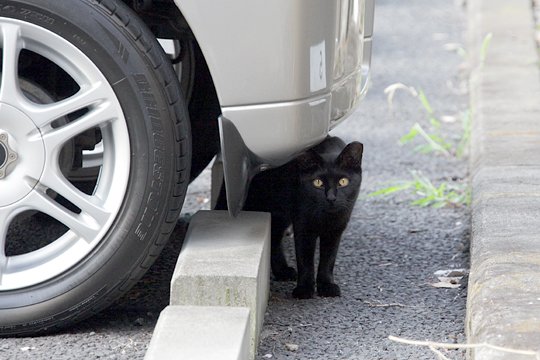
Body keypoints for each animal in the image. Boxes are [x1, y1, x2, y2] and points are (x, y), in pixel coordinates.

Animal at [243, 136, 364, 300]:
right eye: (318, 183)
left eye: (343, 182)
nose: (331, 198)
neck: (324, 217)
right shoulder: (303, 227)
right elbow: (304, 260)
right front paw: (304, 289)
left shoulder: (335, 230)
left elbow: (328, 260)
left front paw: (327, 286)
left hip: (281, 216)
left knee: (274, 239)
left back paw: (283, 271)